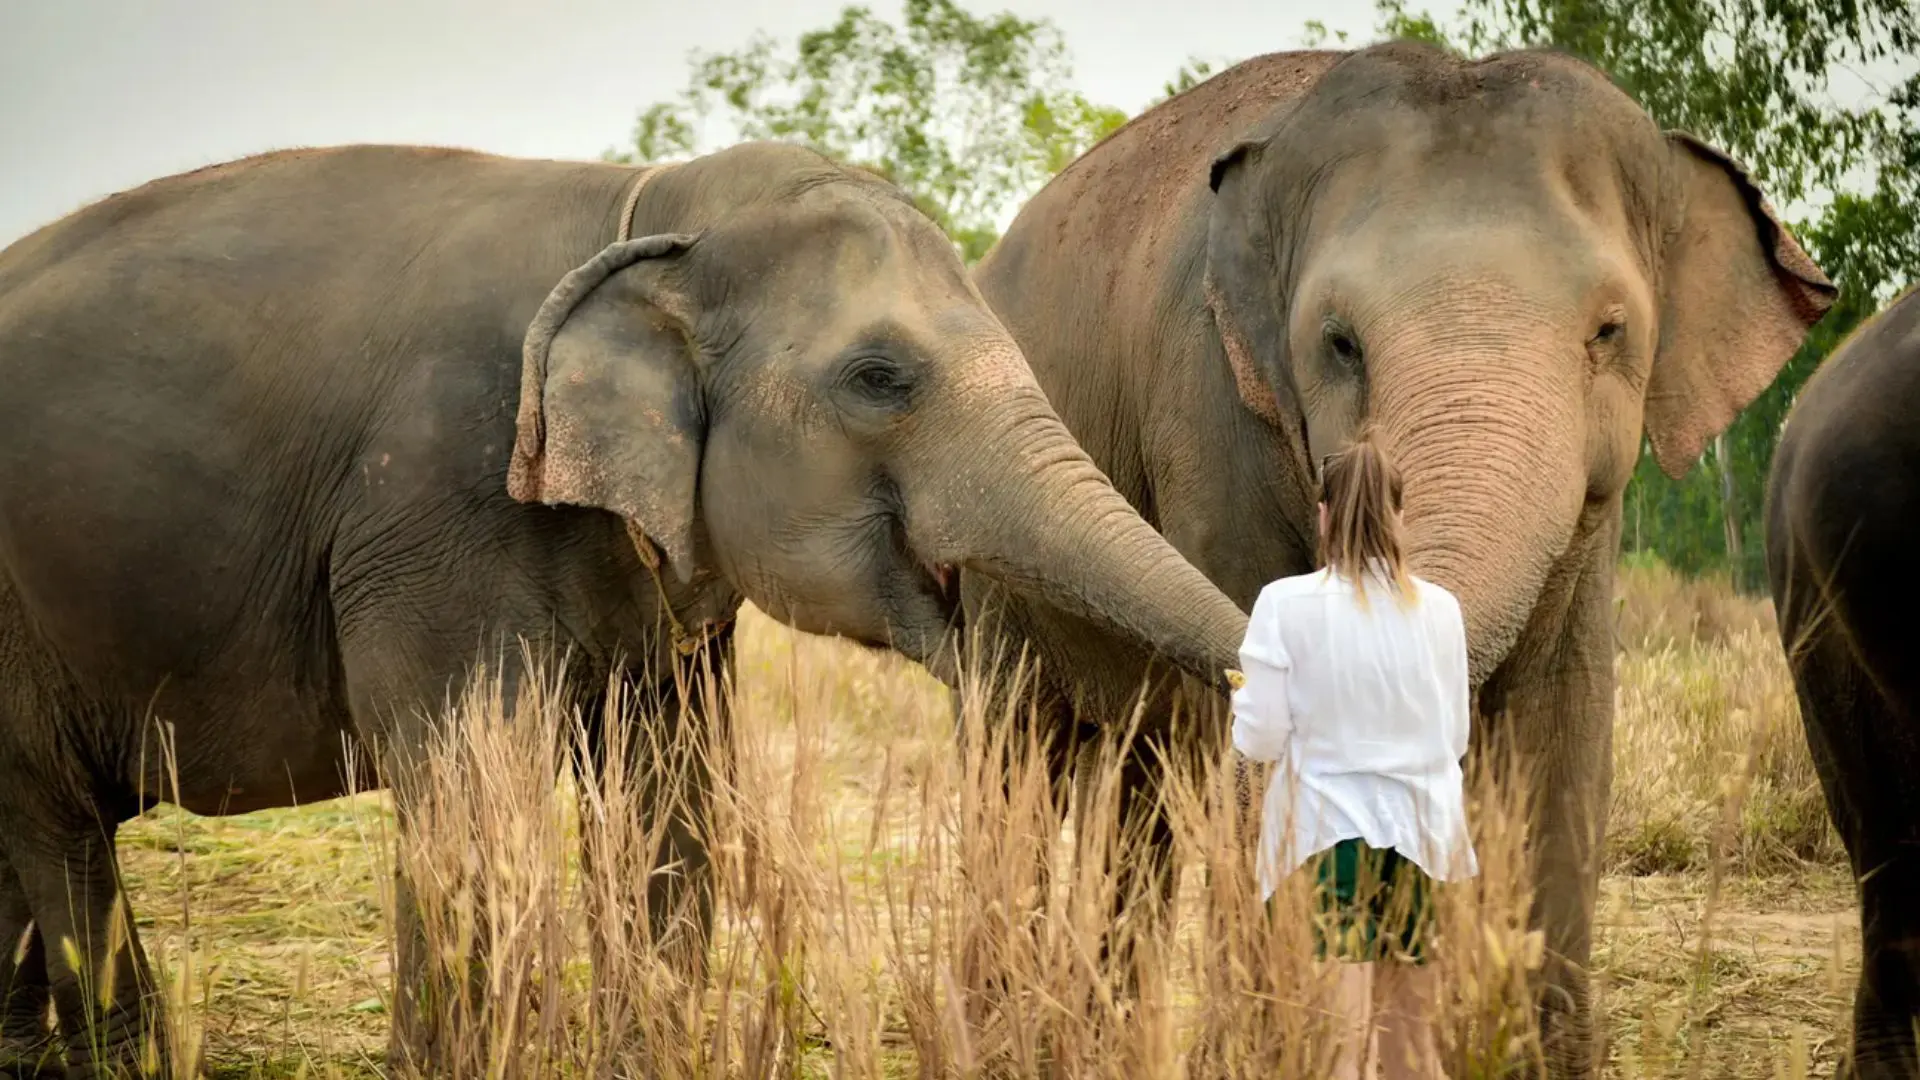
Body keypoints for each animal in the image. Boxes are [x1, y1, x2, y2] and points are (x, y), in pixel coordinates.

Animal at [0, 140, 1250, 1077]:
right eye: (879, 379)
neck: (645, 206)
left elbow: (672, 795)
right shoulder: (432, 501)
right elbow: (469, 800)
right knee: (57, 825)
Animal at [958, 40, 1835, 1077]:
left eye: (1610, 332)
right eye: (1339, 344)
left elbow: (1563, 714)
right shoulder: (1210, 416)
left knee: (1140, 782)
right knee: (1013, 745)